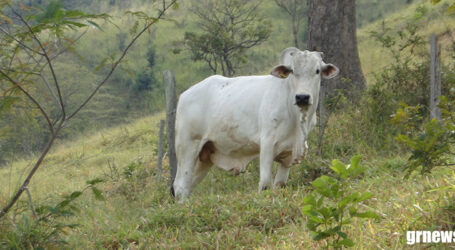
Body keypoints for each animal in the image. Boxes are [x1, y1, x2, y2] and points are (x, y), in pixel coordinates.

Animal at [173, 47, 340, 202]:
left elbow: (280, 185)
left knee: (188, 187)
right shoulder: (267, 145)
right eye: (292, 71)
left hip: (204, 156)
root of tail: (184, 95)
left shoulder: (287, 156)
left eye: (317, 70)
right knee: (180, 187)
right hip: (188, 147)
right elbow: (265, 185)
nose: (302, 97)